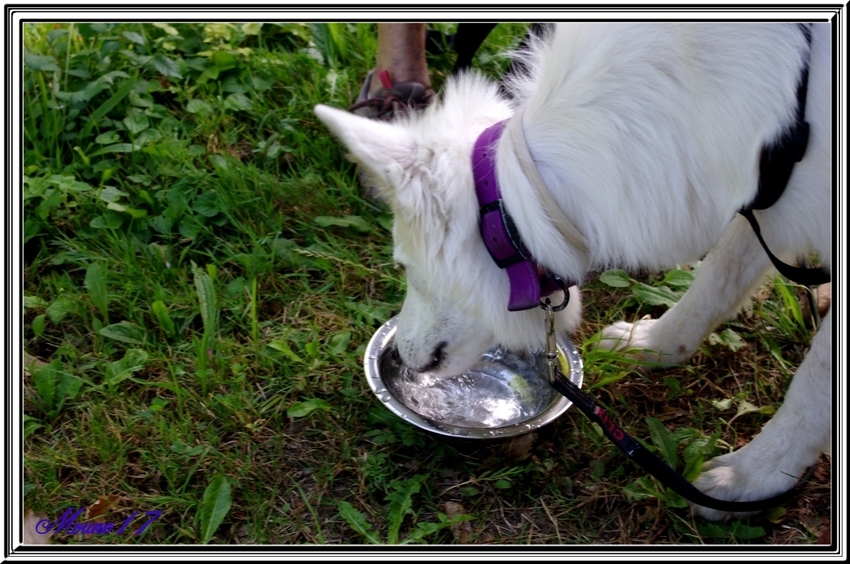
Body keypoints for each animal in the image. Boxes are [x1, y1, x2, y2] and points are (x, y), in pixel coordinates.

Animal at [314, 24, 828, 524]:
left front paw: (755, 476)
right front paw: (657, 344)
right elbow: (716, 279)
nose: (402, 352)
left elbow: (812, 385)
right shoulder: (766, 207)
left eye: (402, 264)